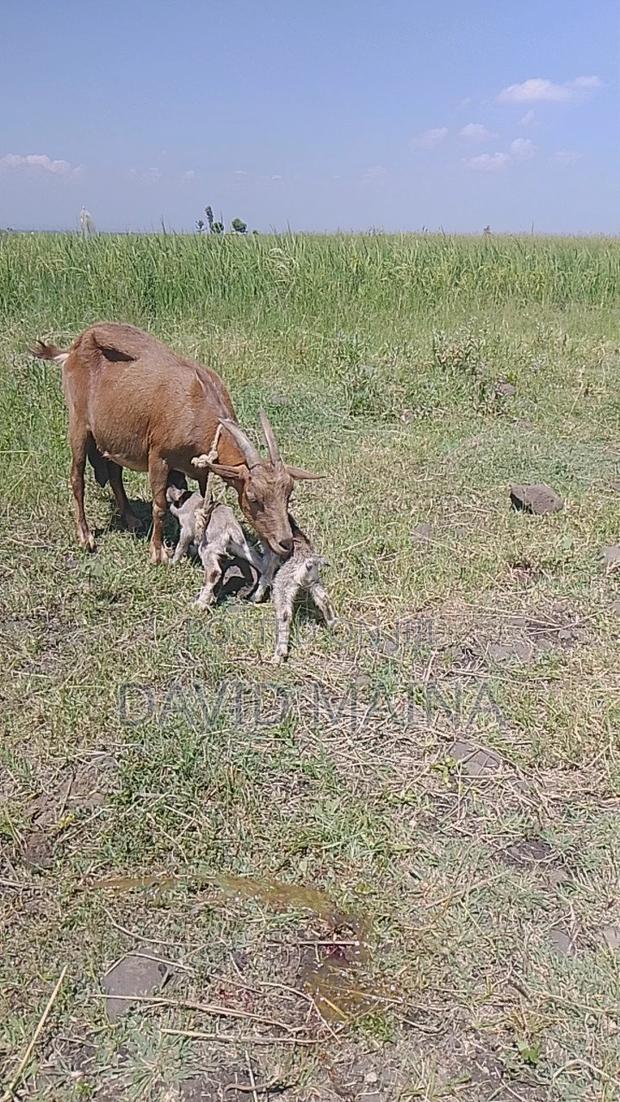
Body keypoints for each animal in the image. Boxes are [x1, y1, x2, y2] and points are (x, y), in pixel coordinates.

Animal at [32, 324, 320, 564]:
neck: (197, 407)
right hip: (78, 422)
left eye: (288, 494)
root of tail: (73, 347)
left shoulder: (203, 468)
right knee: (76, 478)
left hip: (114, 434)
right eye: (253, 497)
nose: (285, 544)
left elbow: (207, 504)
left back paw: (131, 519)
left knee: (114, 471)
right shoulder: (159, 456)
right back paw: (86, 537)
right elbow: (159, 505)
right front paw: (158, 552)